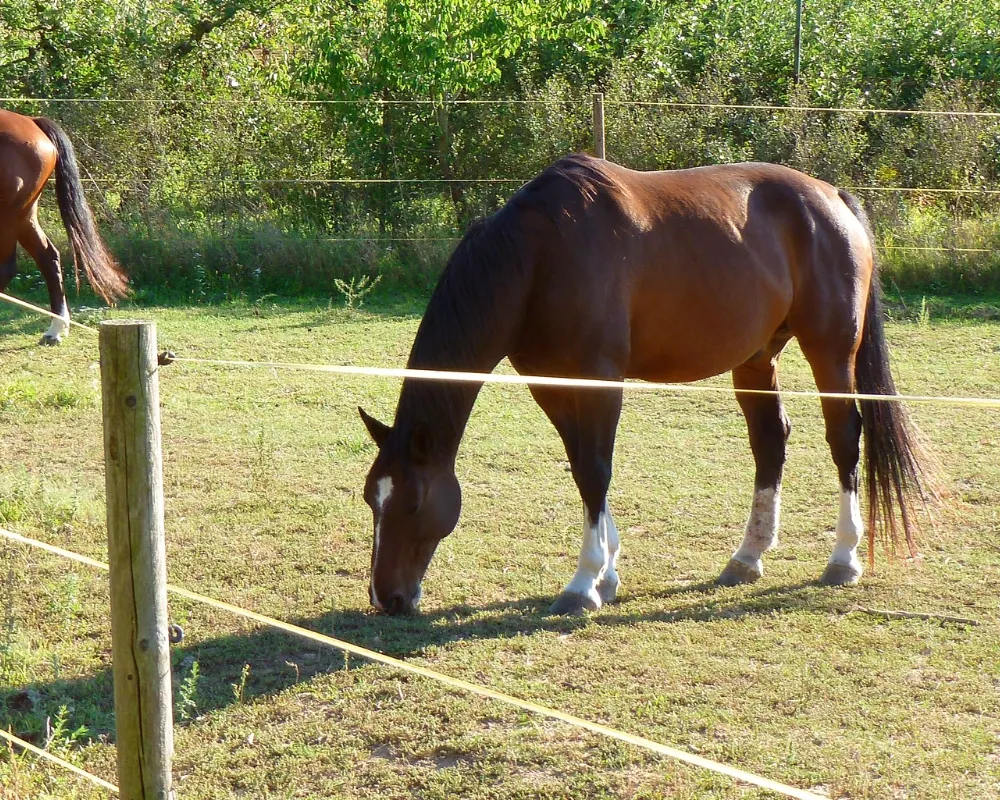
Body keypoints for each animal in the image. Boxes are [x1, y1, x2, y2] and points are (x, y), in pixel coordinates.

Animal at [0, 108, 128, 343]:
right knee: (48, 257)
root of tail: (31, 122)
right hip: (24, 216)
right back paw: (56, 329)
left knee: (7, 267)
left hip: (7, 216)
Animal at [358, 153, 932, 617]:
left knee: (845, 438)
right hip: (755, 358)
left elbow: (595, 470)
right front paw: (607, 574)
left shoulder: (600, 379)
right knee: (770, 441)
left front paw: (583, 584)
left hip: (831, 352)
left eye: (412, 504)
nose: (388, 598)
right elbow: (581, 469)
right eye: (371, 499)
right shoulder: (551, 383)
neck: (541, 256)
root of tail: (832, 198)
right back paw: (746, 558)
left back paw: (843, 558)